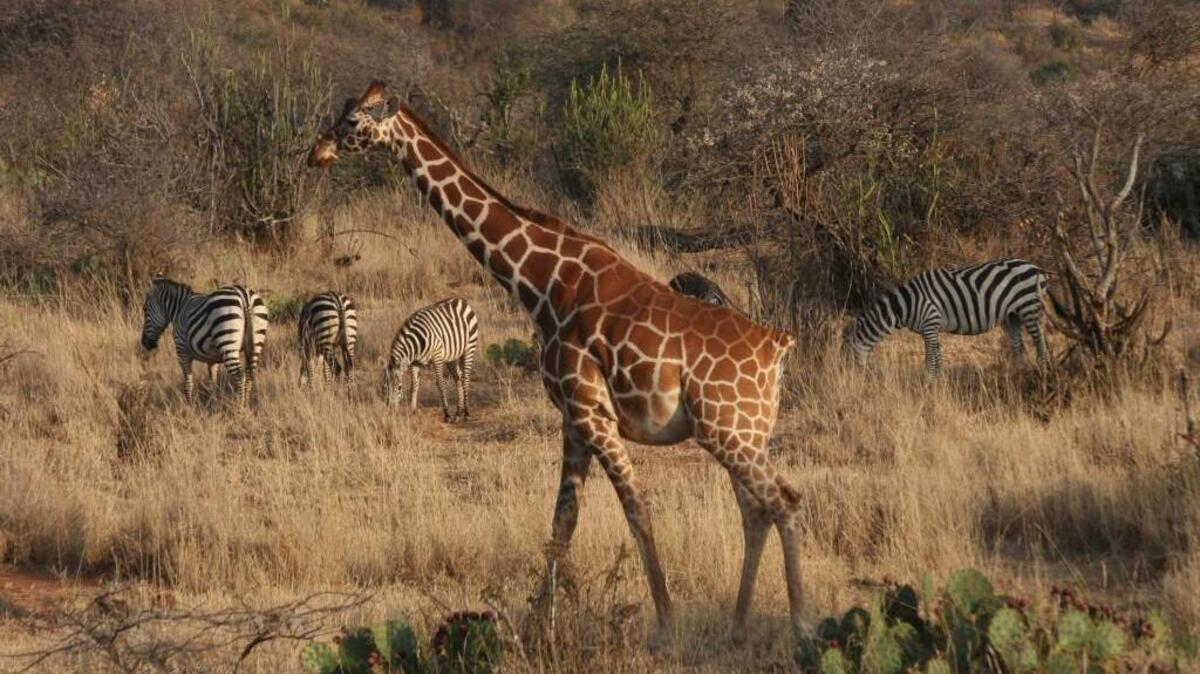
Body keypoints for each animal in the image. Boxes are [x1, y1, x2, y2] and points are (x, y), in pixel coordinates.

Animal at [140, 278, 270, 404]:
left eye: (145, 310)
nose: (144, 343)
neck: (179, 309)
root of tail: (244, 295)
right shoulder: (212, 360)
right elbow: (212, 383)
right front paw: (214, 404)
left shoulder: (182, 351)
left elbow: (188, 382)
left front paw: (189, 406)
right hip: (255, 343)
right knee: (249, 374)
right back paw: (246, 404)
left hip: (227, 341)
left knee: (239, 376)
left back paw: (240, 407)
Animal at [308, 81, 805, 646]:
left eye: (351, 122)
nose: (317, 152)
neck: (543, 283)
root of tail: (777, 347)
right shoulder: (572, 417)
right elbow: (562, 522)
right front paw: (534, 627)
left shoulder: (592, 411)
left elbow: (636, 510)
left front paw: (666, 625)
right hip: (743, 432)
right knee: (756, 510)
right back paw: (739, 627)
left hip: (727, 430)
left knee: (784, 499)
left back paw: (802, 626)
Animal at [841, 258, 1050, 377]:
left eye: (844, 353)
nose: (845, 378)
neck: (904, 306)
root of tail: (1038, 268)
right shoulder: (931, 328)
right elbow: (938, 355)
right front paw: (939, 382)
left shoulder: (930, 323)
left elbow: (930, 357)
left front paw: (928, 381)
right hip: (1012, 315)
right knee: (1018, 345)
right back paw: (1017, 372)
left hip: (1028, 307)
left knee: (1039, 339)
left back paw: (1043, 367)